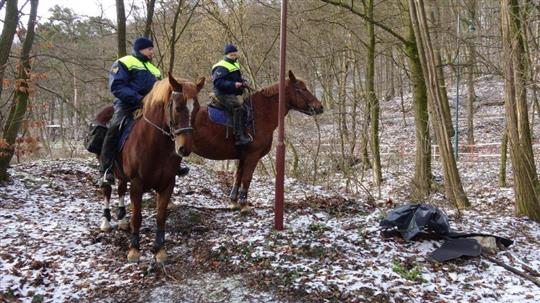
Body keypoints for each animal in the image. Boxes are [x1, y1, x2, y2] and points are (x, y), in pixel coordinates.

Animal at [95, 73, 205, 264]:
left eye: (196, 109)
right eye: (178, 108)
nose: (184, 148)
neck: (155, 145)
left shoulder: (167, 184)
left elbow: (160, 216)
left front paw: (159, 250)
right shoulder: (137, 184)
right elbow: (137, 216)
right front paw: (134, 250)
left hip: (122, 174)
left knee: (121, 188)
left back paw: (122, 220)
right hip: (105, 169)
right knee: (107, 190)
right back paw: (106, 222)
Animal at [192, 71, 322, 214]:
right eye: (303, 89)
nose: (320, 107)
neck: (259, 114)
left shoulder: (243, 157)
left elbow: (238, 177)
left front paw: (234, 202)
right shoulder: (252, 155)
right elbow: (247, 178)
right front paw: (244, 204)